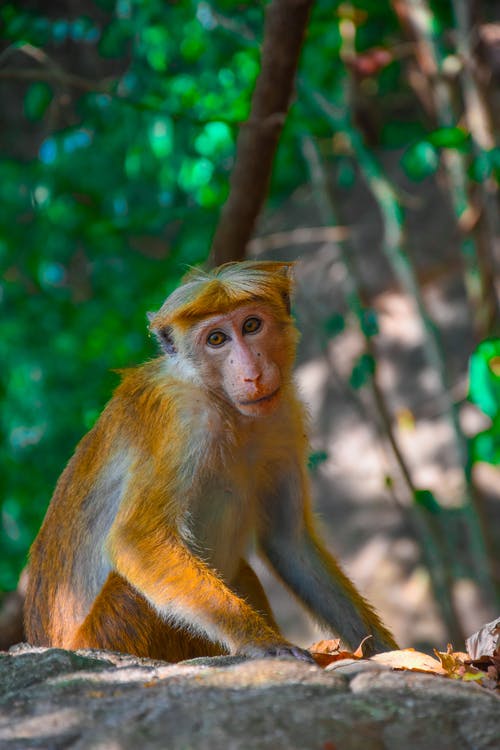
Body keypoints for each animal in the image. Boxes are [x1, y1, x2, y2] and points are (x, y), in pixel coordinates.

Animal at [24, 262, 398, 660]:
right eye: (216, 339)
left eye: (251, 325)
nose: (253, 373)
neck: (224, 405)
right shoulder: (182, 420)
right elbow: (135, 540)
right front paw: (263, 641)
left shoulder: (283, 418)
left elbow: (287, 540)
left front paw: (386, 648)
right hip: (106, 635)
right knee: (129, 589)